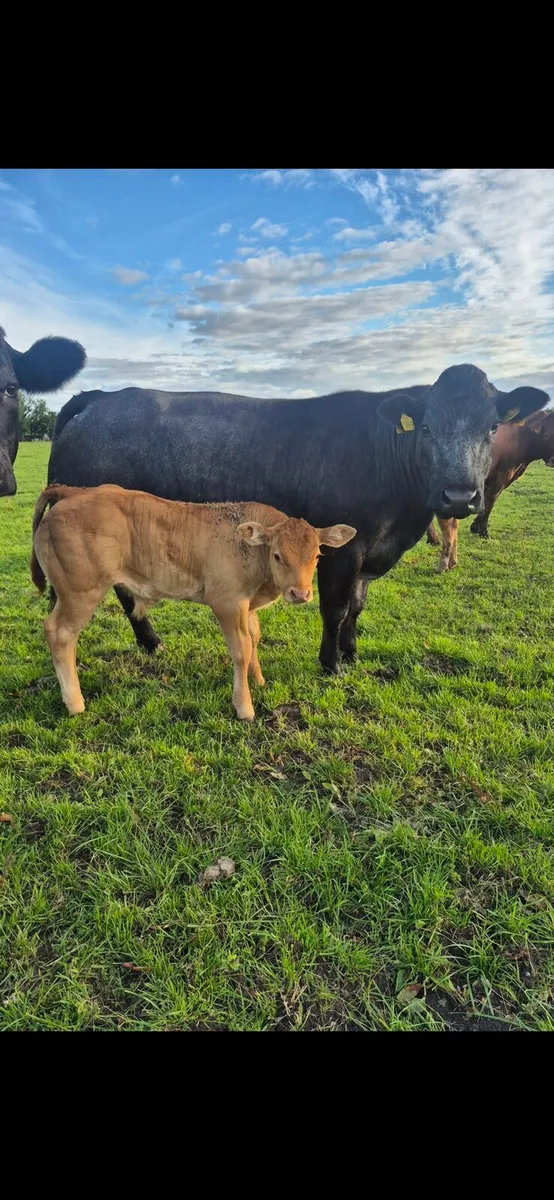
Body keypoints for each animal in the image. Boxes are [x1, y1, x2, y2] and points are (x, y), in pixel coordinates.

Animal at [30, 484, 356, 720]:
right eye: (278, 555)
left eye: (317, 556)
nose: (300, 594)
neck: (250, 550)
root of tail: (72, 491)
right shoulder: (226, 601)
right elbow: (241, 649)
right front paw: (244, 705)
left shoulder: (246, 605)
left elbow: (254, 638)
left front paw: (258, 679)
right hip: (81, 592)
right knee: (60, 634)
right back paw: (75, 701)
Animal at [426, 407, 554, 566]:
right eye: (547, 435)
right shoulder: (500, 477)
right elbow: (489, 504)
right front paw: (483, 532)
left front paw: (475, 526)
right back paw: (434, 539)